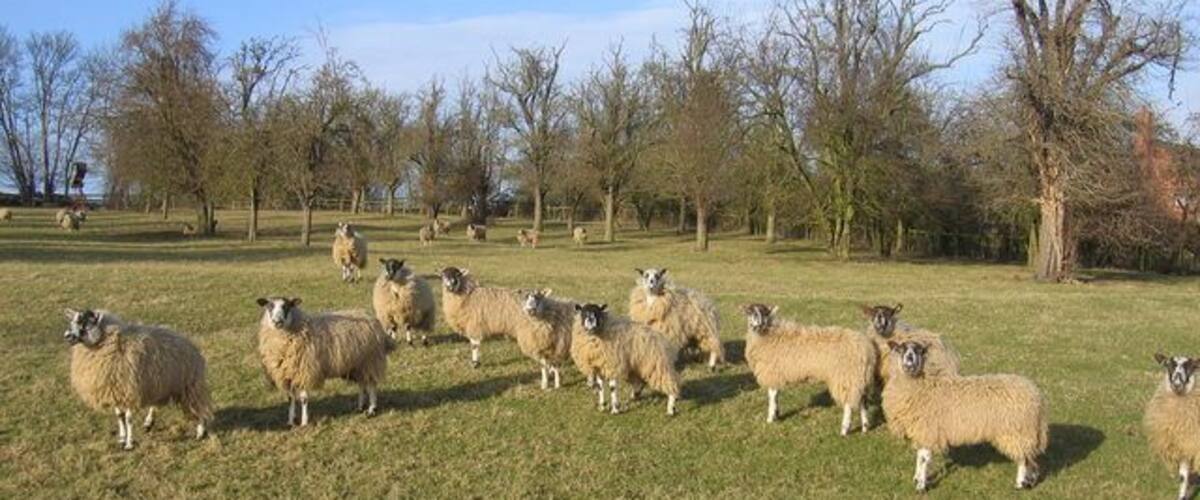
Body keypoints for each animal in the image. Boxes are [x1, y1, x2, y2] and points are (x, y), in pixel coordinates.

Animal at [62, 309, 212, 450]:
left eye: (85, 321)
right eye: (73, 320)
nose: (67, 336)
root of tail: (189, 342)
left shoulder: (129, 389)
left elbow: (128, 419)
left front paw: (129, 443)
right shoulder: (115, 390)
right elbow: (119, 416)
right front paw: (122, 439)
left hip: (190, 384)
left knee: (198, 405)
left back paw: (200, 431)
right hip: (158, 384)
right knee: (155, 404)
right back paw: (148, 423)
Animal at [256, 297, 395, 426]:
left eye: (287, 306)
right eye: (269, 306)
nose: (277, 322)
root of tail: (371, 318)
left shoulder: (304, 371)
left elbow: (304, 399)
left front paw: (304, 423)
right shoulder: (289, 375)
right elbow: (290, 399)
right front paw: (290, 421)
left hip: (371, 361)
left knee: (371, 385)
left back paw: (372, 409)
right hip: (358, 364)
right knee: (362, 384)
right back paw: (360, 407)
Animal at [741, 304, 876, 435]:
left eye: (765, 313)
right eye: (750, 312)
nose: (758, 326)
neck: (768, 333)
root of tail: (866, 349)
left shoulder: (772, 373)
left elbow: (772, 396)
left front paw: (770, 418)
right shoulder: (777, 374)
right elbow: (776, 396)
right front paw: (777, 415)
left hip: (846, 376)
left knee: (848, 405)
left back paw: (844, 430)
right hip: (860, 378)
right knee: (863, 402)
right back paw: (865, 427)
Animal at [883, 340, 1048, 492]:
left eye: (919, 350)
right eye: (901, 349)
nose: (910, 361)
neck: (922, 386)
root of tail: (1035, 394)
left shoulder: (929, 429)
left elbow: (924, 459)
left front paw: (921, 486)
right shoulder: (922, 431)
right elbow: (919, 457)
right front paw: (917, 478)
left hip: (1017, 430)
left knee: (1022, 458)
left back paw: (1019, 483)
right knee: (1029, 457)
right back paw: (1029, 480)